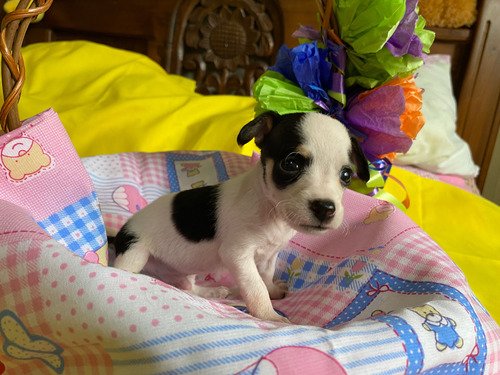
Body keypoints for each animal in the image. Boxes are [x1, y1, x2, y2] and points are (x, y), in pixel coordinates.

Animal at [115, 111, 370, 324]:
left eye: (346, 175)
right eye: (291, 163)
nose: (325, 208)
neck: (271, 212)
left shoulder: (268, 256)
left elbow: (265, 277)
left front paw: (273, 292)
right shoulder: (238, 256)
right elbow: (256, 288)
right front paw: (270, 316)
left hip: (185, 270)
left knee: (188, 287)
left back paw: (211, 291)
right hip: (135, 253)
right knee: (125, 271)